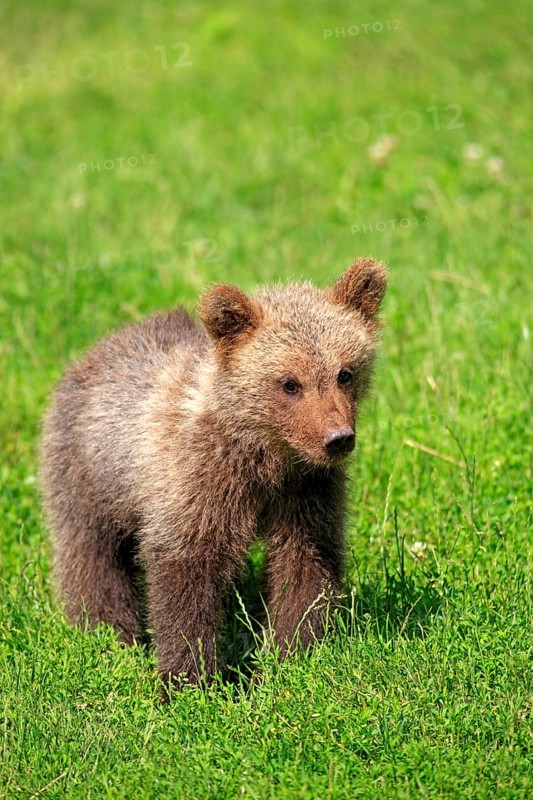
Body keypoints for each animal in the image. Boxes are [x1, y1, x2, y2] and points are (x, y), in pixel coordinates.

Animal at [41, 256, 387, 689]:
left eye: (345, 372)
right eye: (289, 383)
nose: (337, 439)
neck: (263, 453)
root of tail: (95, 349)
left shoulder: (305, 488)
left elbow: (305, 561)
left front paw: (288, 656)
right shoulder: (197, 480)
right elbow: (187, 570)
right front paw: (189, 679)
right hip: (88, 470)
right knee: (89, 554)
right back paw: (109, 632)